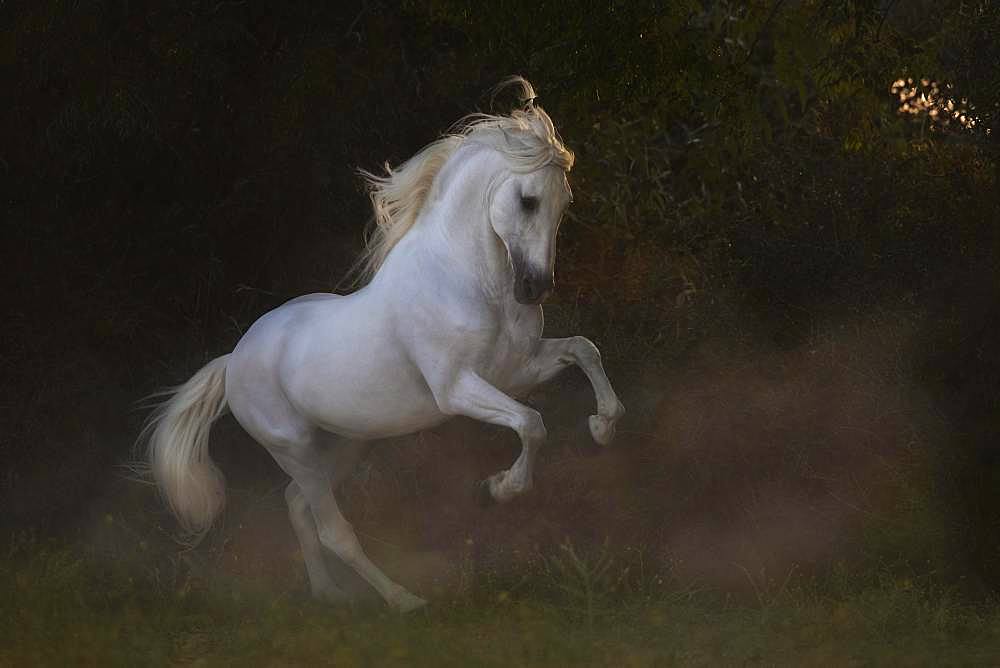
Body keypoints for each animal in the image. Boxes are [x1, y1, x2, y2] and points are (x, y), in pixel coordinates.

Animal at [141, 78, 624, 612]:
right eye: (529, 200)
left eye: (564, 203)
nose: (535, 287)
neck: (467, 281)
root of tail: (233, 361)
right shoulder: (456, 389)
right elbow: (532, 424)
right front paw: (496, 490)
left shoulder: (515, 371)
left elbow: (584, 350)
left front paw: (602, 427)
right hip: (295, 449)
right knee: (333, 530)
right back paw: (402, 600)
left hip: (345, 443)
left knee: (297, 507)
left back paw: (328, 594)